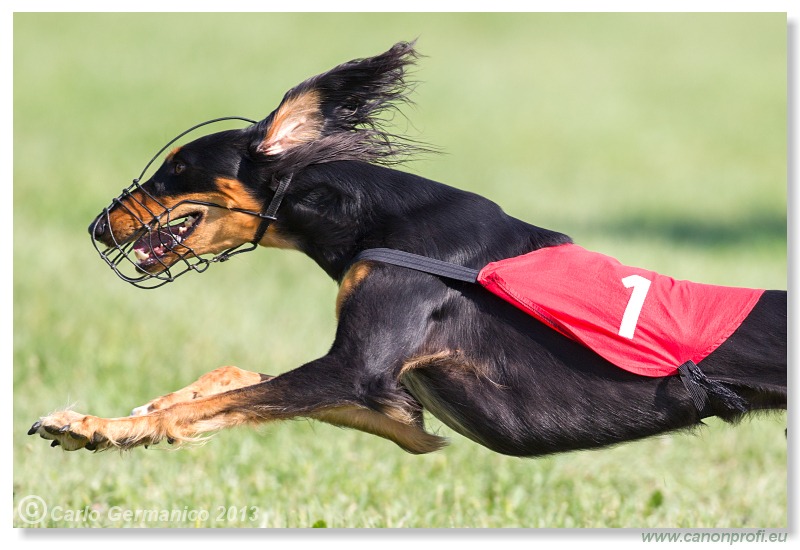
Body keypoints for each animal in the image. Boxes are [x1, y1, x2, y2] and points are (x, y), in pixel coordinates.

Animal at [28, 42, 784, 458]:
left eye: (177, 169)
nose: (97, 227)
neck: (381, 220)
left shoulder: (355, 369)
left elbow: (215, 402)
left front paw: (94, 428)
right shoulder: (396, 407)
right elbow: (229, 380)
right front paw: (141, 409)